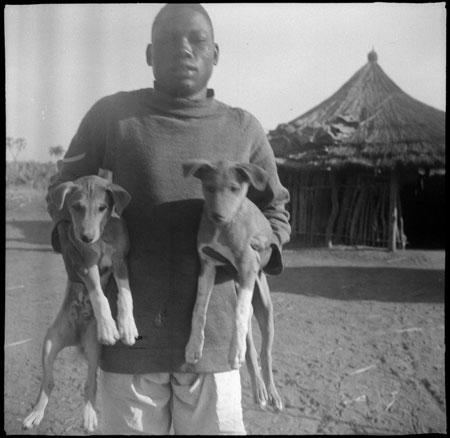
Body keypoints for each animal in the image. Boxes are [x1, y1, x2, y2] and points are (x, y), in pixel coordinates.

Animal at [22, 171, 138, 432]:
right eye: (76, 207)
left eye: (102, 207)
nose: (86, 237)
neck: (102, 236)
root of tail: (75, 338)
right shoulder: (84, 264)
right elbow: (99, 296)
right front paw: (109, 325)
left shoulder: (120, 261)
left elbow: (125, 295)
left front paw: (126, 326)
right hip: (50, 343)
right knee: (48, 381)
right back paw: (36, 414)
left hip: (94, 349)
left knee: (90, 382)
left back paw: (89, 415)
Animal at [182, 160, 282, 410]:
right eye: (209, 187)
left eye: (235, 188)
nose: (218, 215)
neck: (222, 230)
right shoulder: (207, 265)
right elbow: (199, 310)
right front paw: (194, 345)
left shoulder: (247, 266)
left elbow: (238, 312)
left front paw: (233, 349)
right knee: (252, 352)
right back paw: (258, 390)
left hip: (264, 308)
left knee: (265, 353)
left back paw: (271, 392)